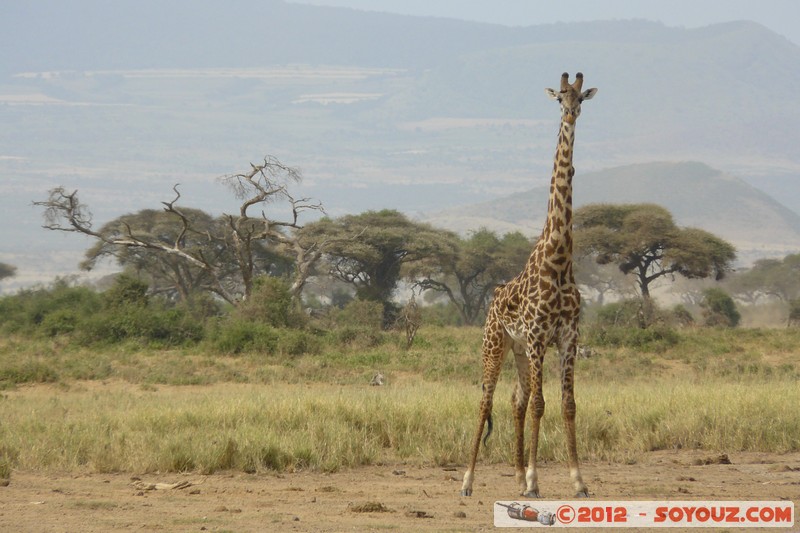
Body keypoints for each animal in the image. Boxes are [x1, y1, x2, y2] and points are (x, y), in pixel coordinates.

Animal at [460, 72, 596, 496]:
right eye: (559, 99)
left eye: (581, 98)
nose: (571, 114)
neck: (559, 259)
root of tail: (492, 297)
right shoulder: (538, 337)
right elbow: (541, 404)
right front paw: (537, 481)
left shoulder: (567, 337)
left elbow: (568, 405)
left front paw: (578, 482)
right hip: (496, 343)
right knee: (486, 400)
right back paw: (468, 481)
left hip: (518, 350)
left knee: (514, 399)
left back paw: (518, 476)